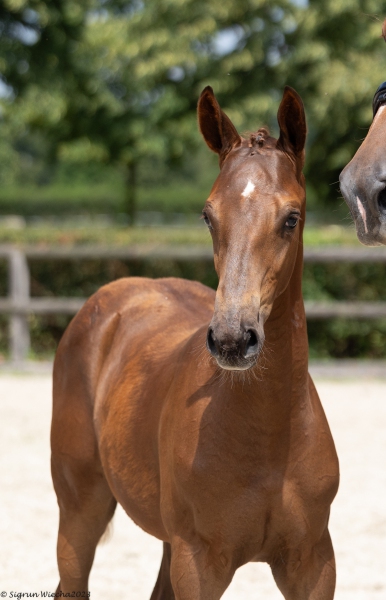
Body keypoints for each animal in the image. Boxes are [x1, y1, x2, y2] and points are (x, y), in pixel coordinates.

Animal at [50, 85, 338, 600]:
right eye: (207, 215)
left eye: (292, 218)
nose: (232, 339)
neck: (271, 439)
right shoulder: (199, 563)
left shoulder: (313, 564)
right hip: (80, 510)